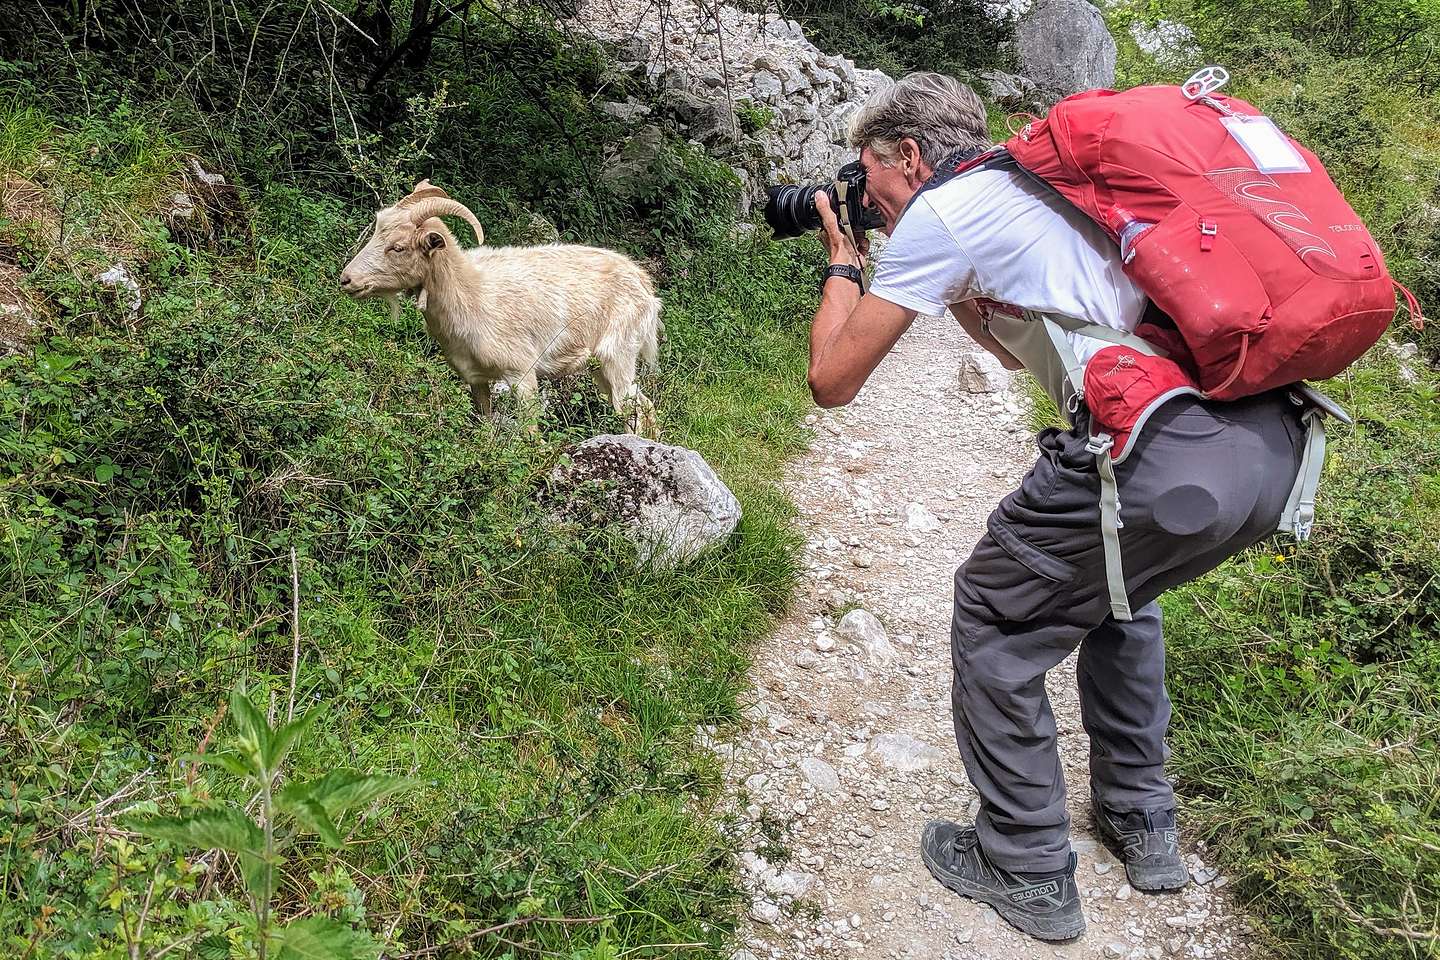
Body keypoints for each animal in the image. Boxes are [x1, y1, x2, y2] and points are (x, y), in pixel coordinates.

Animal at [342, 179, 662, 434]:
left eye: (398, 247)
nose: (346, 279)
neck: (469, 290)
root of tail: (646, 285)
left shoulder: (522, 372)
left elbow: (530, 431)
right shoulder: (475, 379)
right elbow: (485, 424)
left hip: (618, 356)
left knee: (631, 409)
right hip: (601, 367)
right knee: (644, 406)